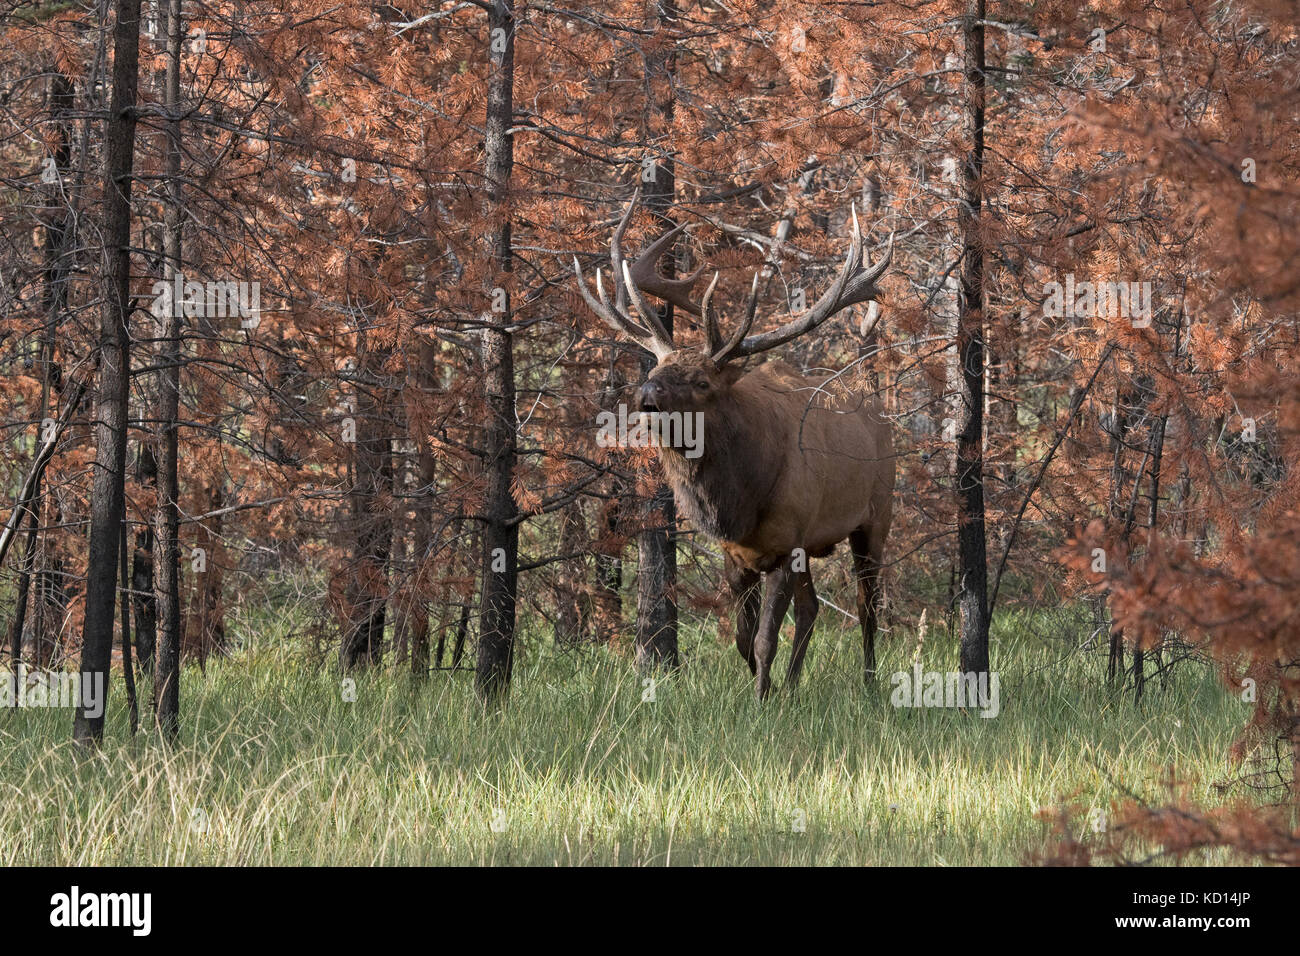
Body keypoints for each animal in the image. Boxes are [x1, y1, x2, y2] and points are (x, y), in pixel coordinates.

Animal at [574, 191, 899, 697]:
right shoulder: (737, 554)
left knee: (868, 604)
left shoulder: (787, 543)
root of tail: (877, 405)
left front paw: (762, 699)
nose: (646, 397)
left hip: (875, 514)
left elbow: (765, 639)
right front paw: (765, 688)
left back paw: (867, 683)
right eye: (655, 368)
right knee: (812, 608)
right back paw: (793, 686)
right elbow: (744, 637)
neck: (739, 501)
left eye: (702, 382)